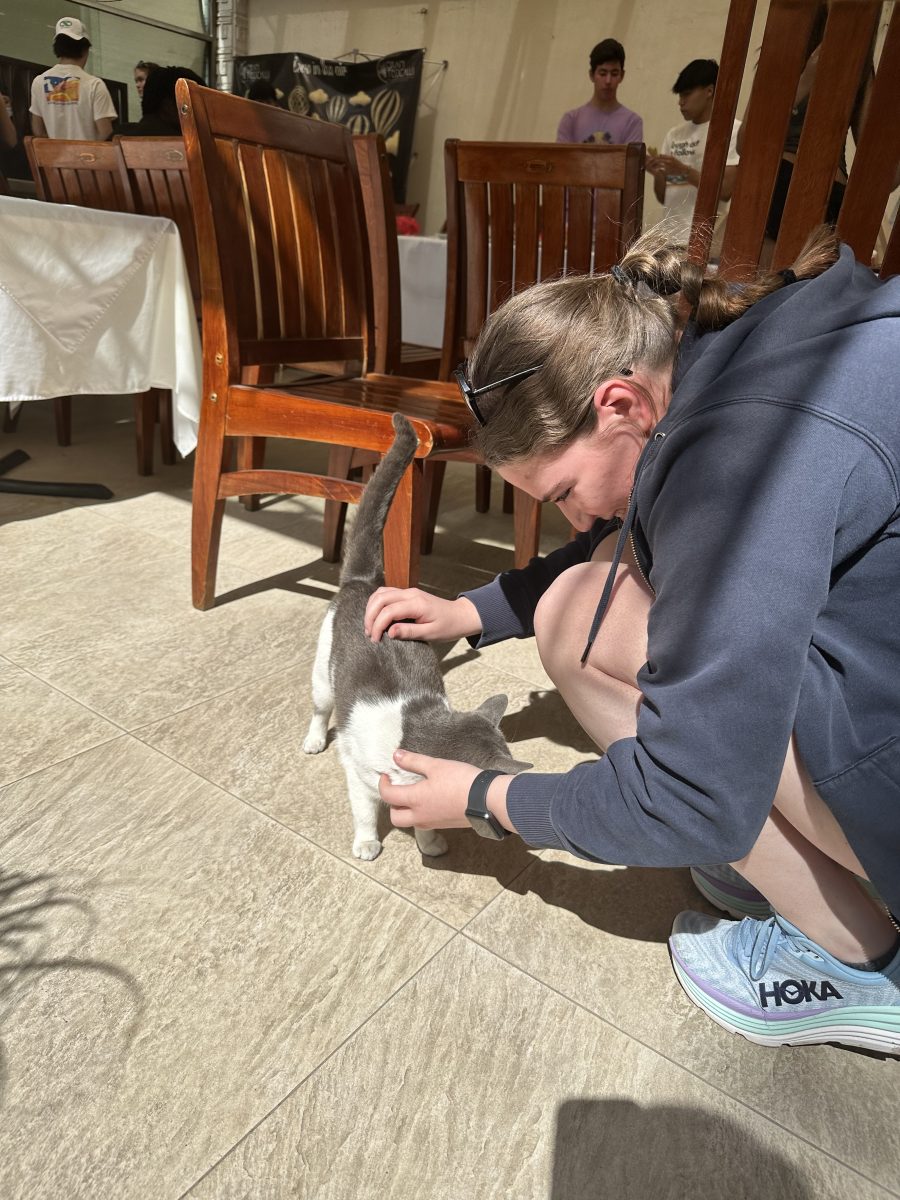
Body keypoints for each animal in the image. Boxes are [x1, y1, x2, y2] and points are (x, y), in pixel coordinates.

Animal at [304, 415, 528, 864]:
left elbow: (424, 819)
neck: (415, 727)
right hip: (323, 672)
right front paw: (367, 842)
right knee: (320, 707)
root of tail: (366, 583)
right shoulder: (357, 771)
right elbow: (364, 809)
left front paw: (431, 843)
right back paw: (315, 740)